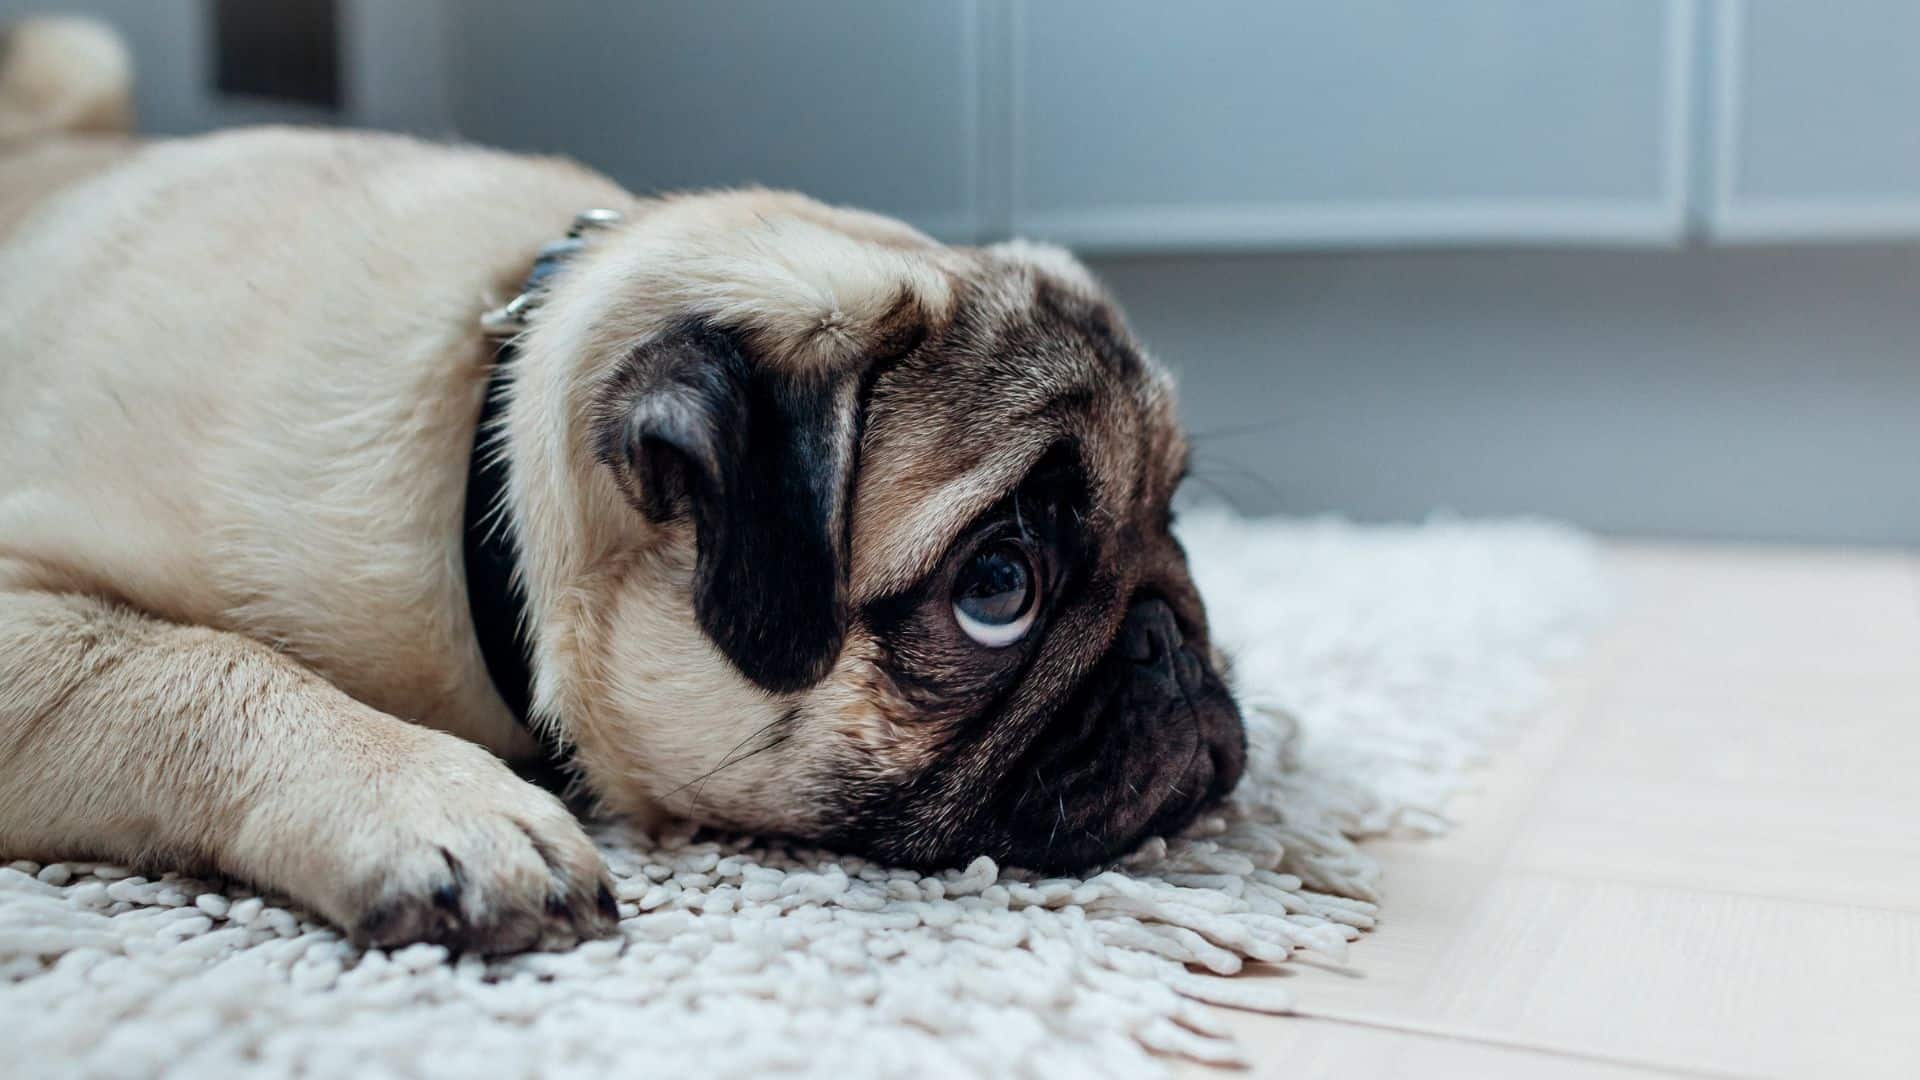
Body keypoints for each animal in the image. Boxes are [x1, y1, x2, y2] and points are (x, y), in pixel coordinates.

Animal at [0, 18, 1244, 949]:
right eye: (998, 588)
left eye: (1174, 519)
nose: (1168, 642)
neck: (480, 452)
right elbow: (196, 665)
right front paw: (434, 800)